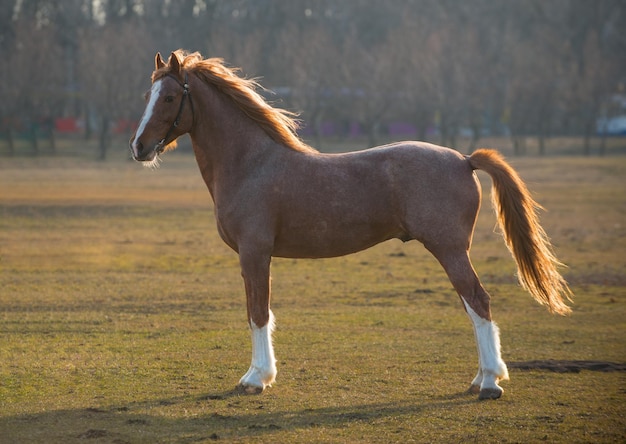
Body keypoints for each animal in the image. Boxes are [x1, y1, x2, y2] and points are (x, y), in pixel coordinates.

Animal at [130, 50, 572, 400]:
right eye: (148, 96)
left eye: (169, 97)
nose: (138, 147)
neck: (251, 164)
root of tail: (465, 159)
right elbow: (259, 311)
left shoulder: (255, 253)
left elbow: (257, 312)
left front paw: (257, 378)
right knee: (472, 305)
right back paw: (481, 378)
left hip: (450, 250)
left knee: (479, 302)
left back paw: (490, 383)